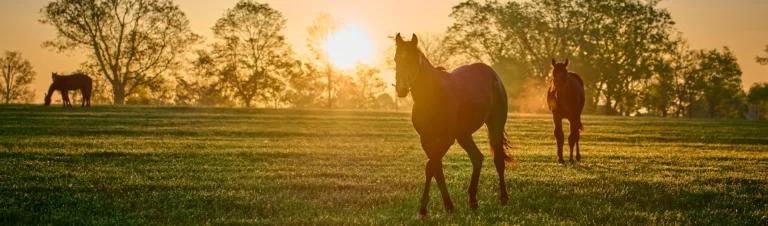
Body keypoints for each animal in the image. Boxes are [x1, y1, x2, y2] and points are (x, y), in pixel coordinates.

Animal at [392, 33, 512, 217]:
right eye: (396, 59)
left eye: (413, 59)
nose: (401, 88)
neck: (433, 95)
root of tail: (493, 75)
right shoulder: (426, 140)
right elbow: (437, 169)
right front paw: (448, 205)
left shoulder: (446, 139)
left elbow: (430, 167)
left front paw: (423, 209)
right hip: (463, 135)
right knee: (477, 158)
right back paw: (473, 200)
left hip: (495, 125)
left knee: (498, 160)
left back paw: (503, 198)